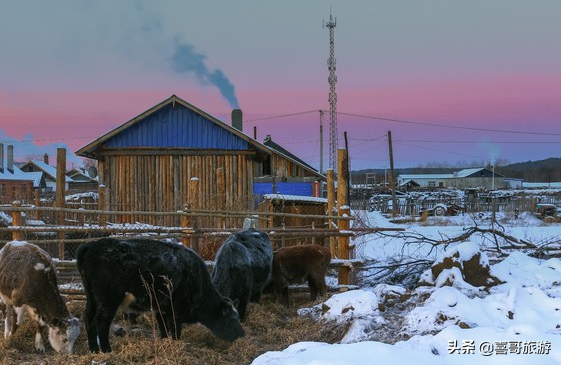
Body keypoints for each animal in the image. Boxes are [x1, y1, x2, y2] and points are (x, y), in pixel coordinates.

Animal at [77, 237, 244, 352]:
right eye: (232, 318)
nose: (242, 334)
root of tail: (91, 245)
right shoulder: (177, 309)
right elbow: (175, 329)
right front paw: (176, 344)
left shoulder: (161, 308)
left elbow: (163, 328)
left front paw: (165, 343)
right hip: (108, 301)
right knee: (101, 323)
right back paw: (106, 350)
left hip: (92, 299)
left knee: (88, 319)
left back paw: (94, 350)